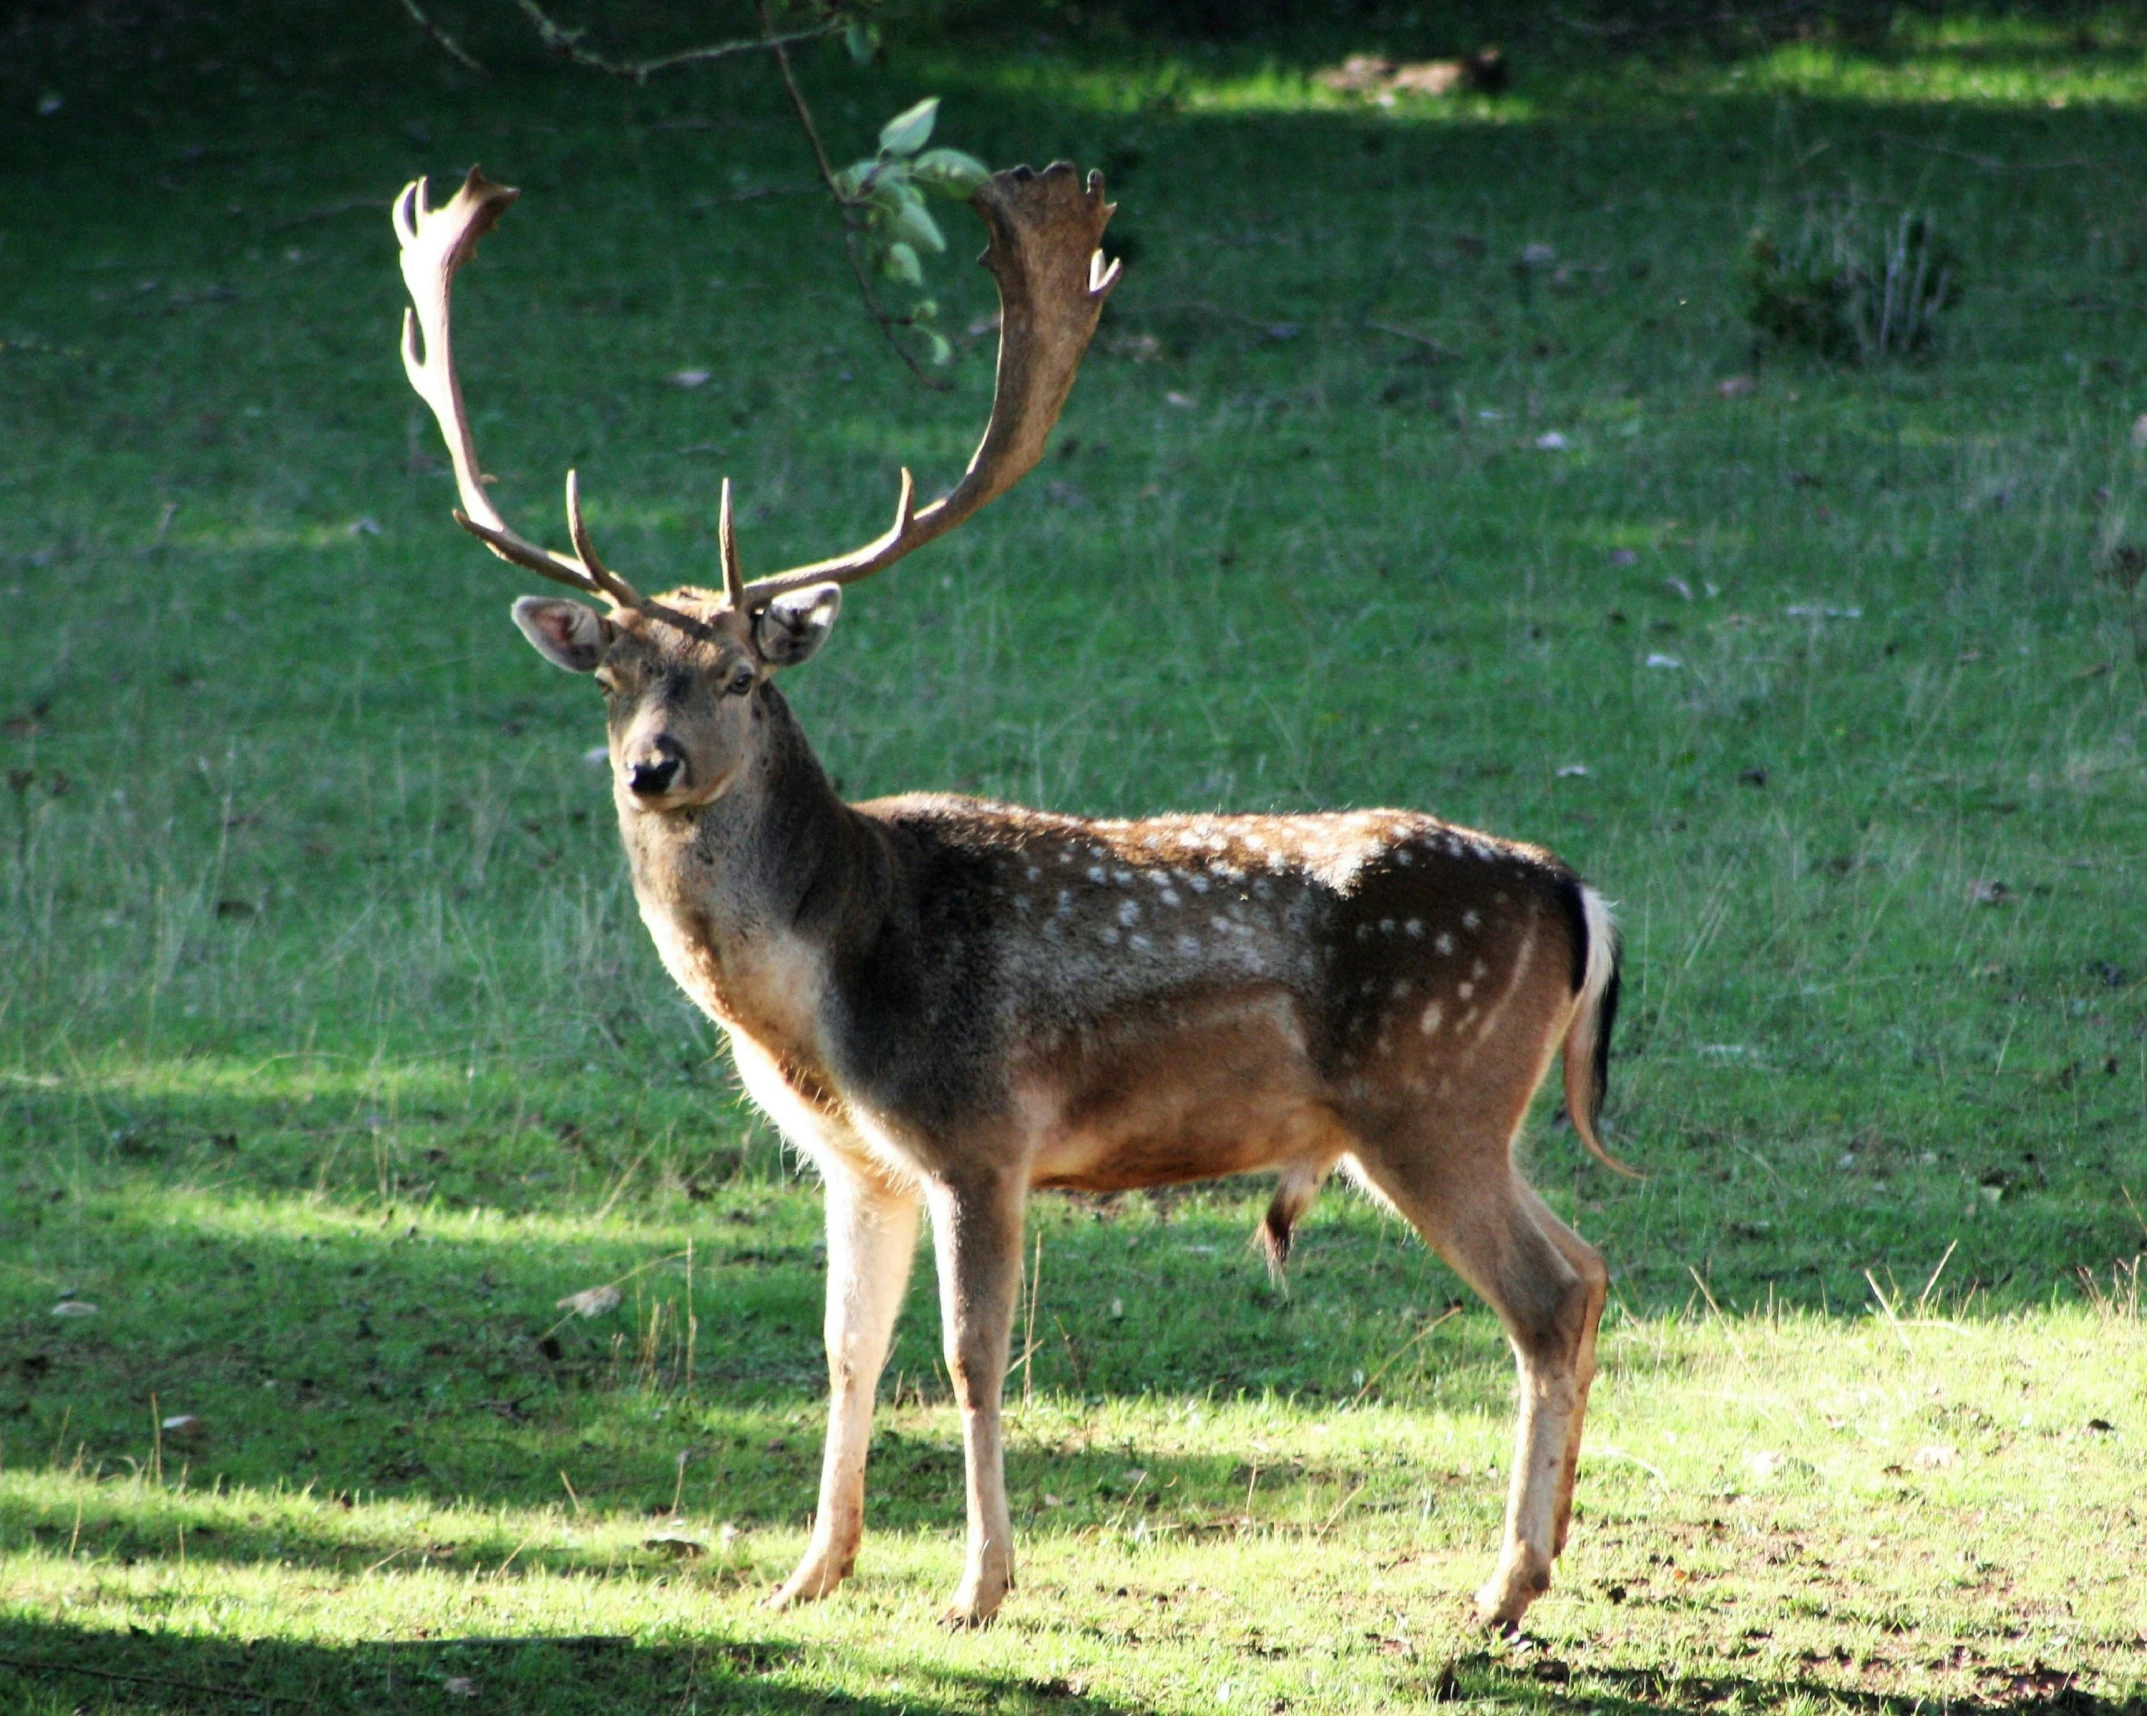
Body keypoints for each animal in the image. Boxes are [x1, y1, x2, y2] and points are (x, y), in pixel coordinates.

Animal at [395, 157, 1623, 1623]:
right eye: (612, 676)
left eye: (743, 674)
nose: (652, 768)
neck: (819, 992)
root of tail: (1572, 892)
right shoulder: (856, 1160)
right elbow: (845, 1351)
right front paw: (808, 1574)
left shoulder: (976, 1132)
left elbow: (970, 1356)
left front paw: (977, 1587)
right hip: (1471, 1115)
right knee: (1591, 1268)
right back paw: (1533, 1562)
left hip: (1424, 1097)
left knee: (1543, 1295)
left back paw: (1501, 1590)